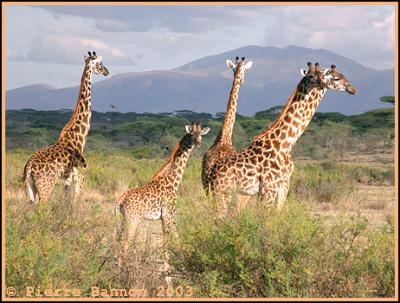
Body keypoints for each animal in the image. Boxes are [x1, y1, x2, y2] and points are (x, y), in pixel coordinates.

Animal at [22, 51, 108, 204]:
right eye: (99, 63)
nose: (106, 71)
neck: (79, 137)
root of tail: (29, 168)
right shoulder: (80, 175)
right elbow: (76, 201)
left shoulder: (68, 179)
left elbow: (67, 201)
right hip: (45, 187)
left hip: (30, 190)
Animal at [115, 122, 211, 276]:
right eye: (191, 134)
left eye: (201, 134)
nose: (198, 143)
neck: (173, 181)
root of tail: (121, 199)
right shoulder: (167, 215)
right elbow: (166, 241)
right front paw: (167, 271)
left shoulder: (169, 217)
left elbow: (177, 239)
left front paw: (183, 265)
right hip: (133, 220)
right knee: (124, 245)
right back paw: (120, 274)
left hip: (123, 219)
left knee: (116, 242)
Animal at [209, 63, 356, 217]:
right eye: (335, 78)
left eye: (341, 75)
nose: (353, 89)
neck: (285, 143)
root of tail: (213, 175)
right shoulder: (272, 188)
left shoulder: (277, 187)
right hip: (223, 194)